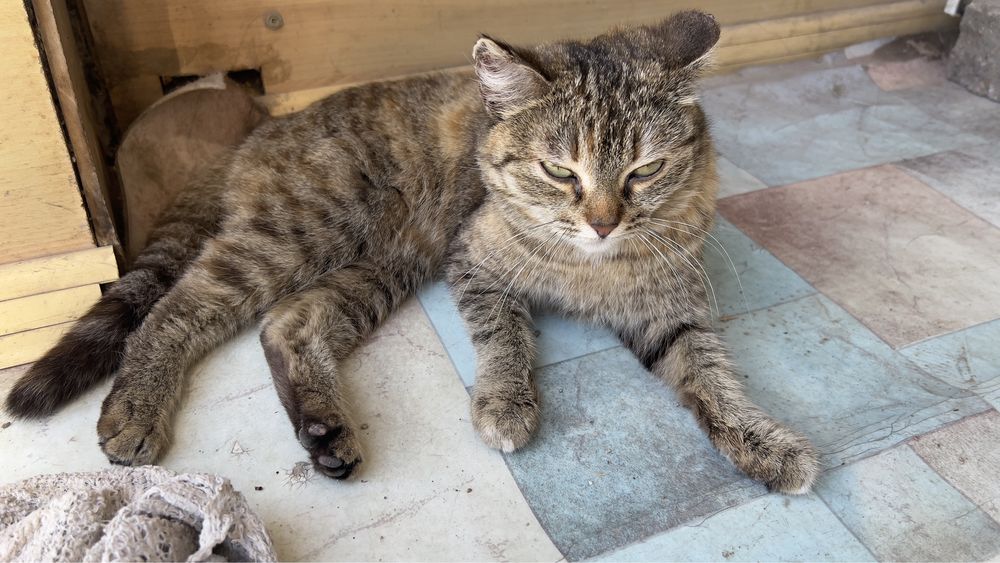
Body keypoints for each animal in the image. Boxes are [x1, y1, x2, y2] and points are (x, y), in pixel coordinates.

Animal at [6, 11, 819, 493]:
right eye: (561, 171)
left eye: (644, 171)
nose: (602, 223)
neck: (589, 266)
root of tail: (254, 136)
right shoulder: (474, 263)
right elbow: (505, 335)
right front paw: (505, 402)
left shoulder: (671, 307)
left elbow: (711, 374)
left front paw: (765, 442)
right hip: (299, 236)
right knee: (173, 312)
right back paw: (137, 406)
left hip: (385, 262)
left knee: (290, 323)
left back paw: (325, 430)